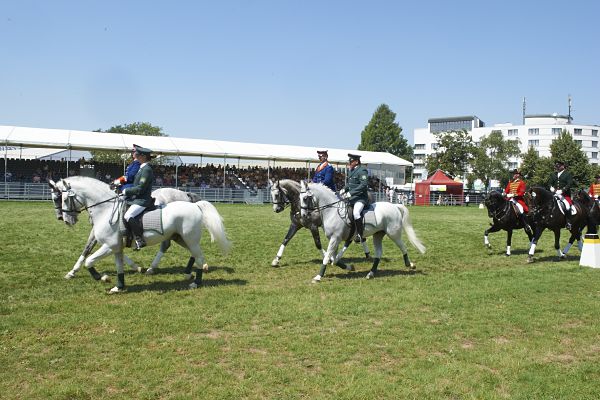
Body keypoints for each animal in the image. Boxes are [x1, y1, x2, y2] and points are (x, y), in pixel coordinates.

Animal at [50, 177, 230, 292]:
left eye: (62, 199)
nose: (65, 220)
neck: (105, 209)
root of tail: (193, 204)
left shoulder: (109, 245)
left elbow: (89, 259)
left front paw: (102, 277)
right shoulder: (114, 246)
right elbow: (111, 261)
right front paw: (119, 284)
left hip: (189, 238)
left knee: (195, 255)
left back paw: (194, 282)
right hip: (180, 237)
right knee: (193, 253)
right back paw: (187, 271)